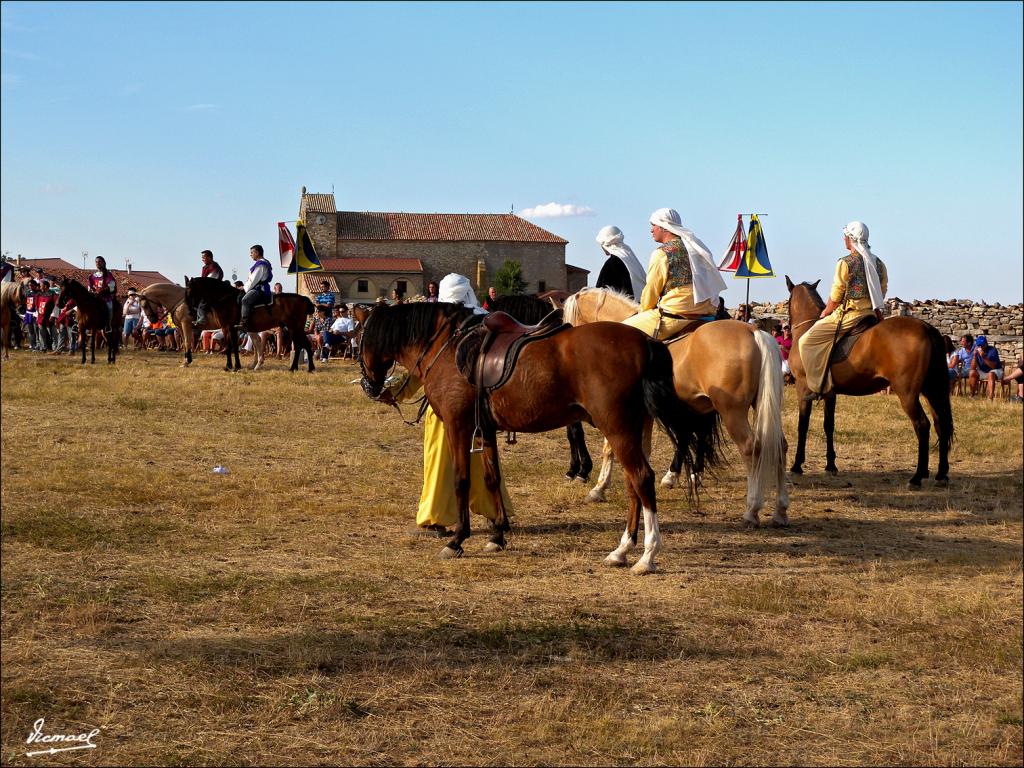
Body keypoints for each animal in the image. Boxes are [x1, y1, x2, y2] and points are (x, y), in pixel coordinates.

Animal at [182, 276, 313, 372]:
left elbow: (232, 347)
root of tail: (303, 298)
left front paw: (234, 366)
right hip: (295, 329)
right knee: (301, 345)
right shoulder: (229, 329)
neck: (225, 300)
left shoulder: (229, 328)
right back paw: (296, 368)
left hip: (294, 328)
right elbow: (231, 346)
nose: (189, 312)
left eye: (190, 292)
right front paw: (231, 366)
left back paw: (306, 368)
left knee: (303, 345)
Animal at [360, 303, 720, 573]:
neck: (448, 347)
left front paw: (457, 539)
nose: (370, 386)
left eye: (360, 338)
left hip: (618, 428)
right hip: (636, 428)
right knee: (635, 483)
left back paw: (646, 556)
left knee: (642, 478)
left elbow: (461, 480)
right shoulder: (485, 430)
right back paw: (621, 550)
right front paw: (497, 535)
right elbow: (491, 478)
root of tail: (646, 342)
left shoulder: (458, 426)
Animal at [561, 288, 790, 528]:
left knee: (750, 448)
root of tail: (753, 331)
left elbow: (609, 449)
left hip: (732, 413)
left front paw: (599, 488)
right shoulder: (649, 415)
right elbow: (647, 449)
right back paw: (780, 510)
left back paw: (752, 510)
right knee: (780, 447)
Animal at [782, 276, 950, 487]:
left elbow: (802, 425)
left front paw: (797, 465)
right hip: (931, 391)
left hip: (907, 394)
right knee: (940, 424)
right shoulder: (830, 393)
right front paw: (830, 465)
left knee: (922, 425)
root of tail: (926, 328)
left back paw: (917, 477)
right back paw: (941, 474)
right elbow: (829, 425)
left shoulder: (803, 388)